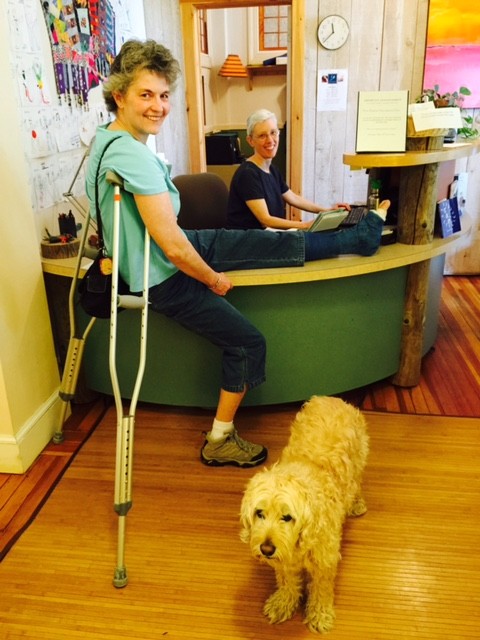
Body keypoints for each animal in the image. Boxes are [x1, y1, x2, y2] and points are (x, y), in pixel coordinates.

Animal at [239, 398, 368, 632]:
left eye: (287, 517)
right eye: (259, 513)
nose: (266, 548)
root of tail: (332, 399)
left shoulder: (324, 561)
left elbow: (321, 590)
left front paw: (319, 614)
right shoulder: (284, 561)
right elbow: (288, 583)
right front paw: (283, 603)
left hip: (358, 461)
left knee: (356, 482)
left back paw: (356, 504)